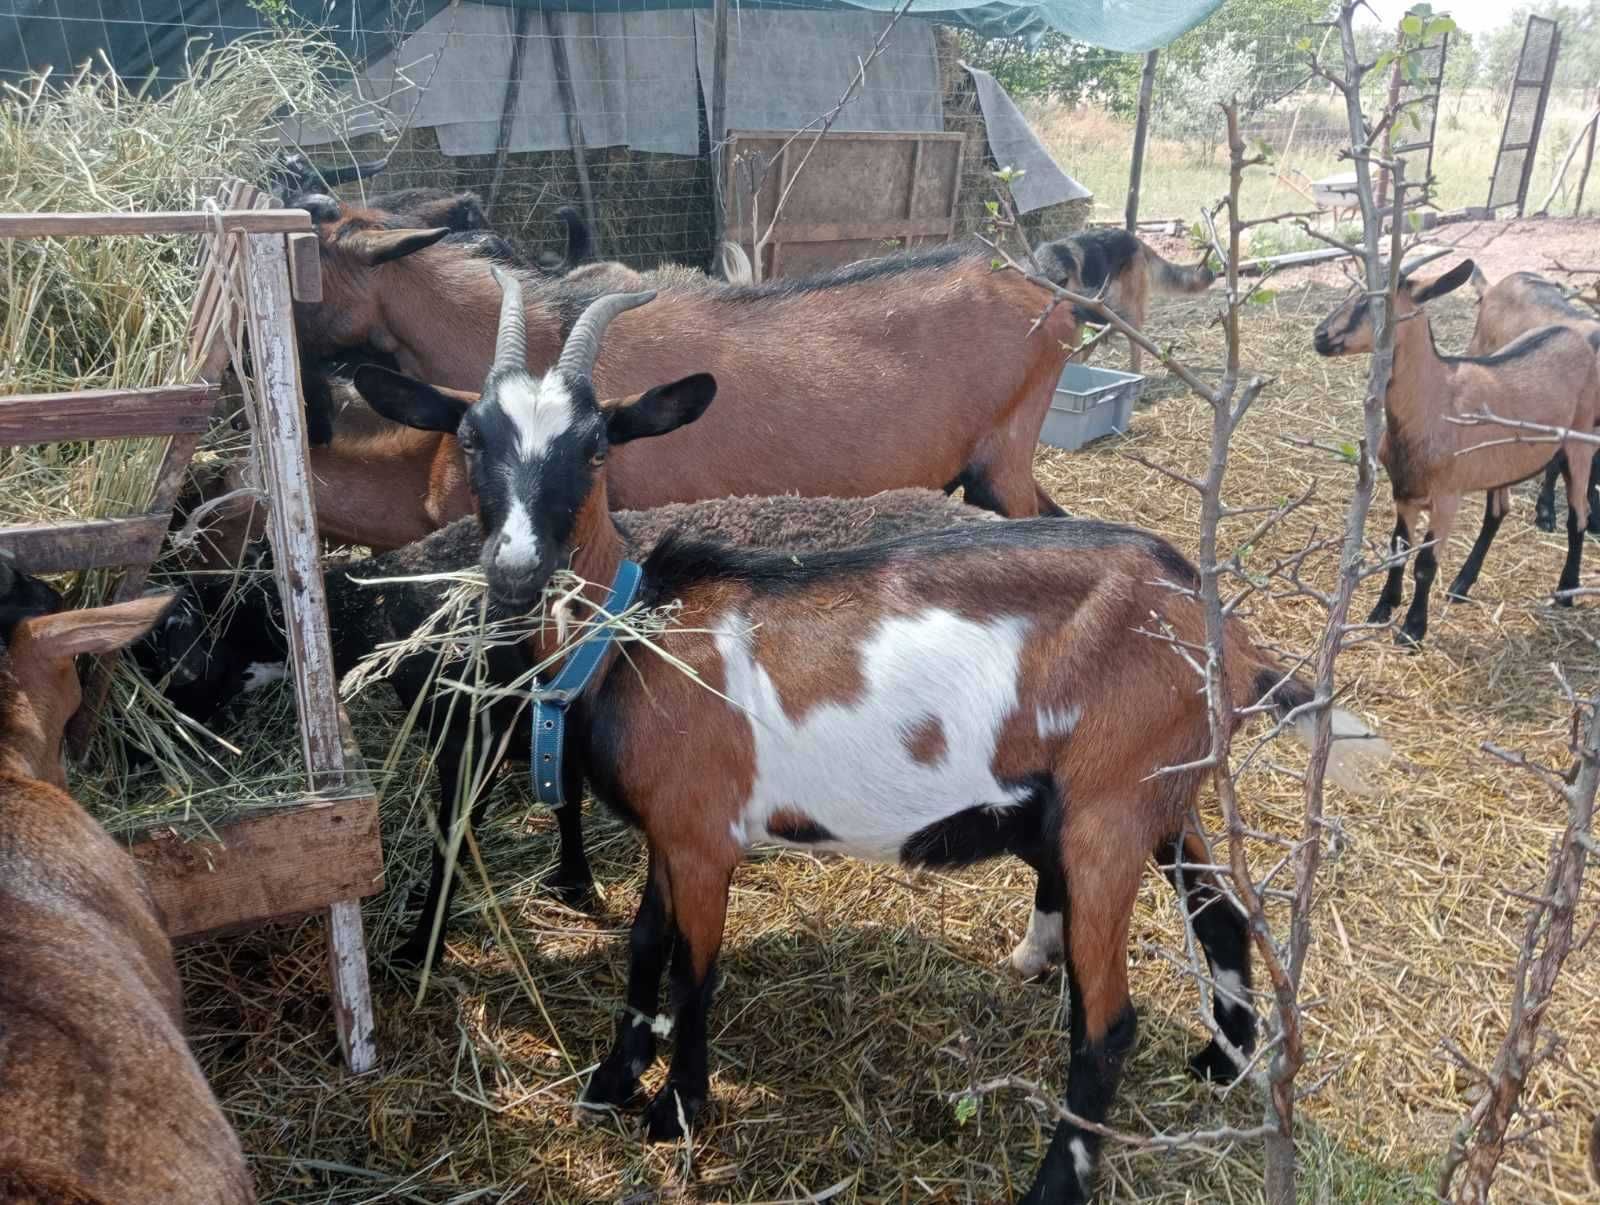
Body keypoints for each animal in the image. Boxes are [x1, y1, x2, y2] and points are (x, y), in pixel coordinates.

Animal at [419, 272, 1395, 1203]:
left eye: (594, 447)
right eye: (472, 439)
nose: (516, 570)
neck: (635, 631)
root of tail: (1221, 628)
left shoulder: (703, 836)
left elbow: (694, 972)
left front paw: (676, 1110)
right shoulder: (673, 828)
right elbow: (645, 946)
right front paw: (611, 1080)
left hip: (1108, 814)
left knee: (1109, 1021)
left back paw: (1056, 1182)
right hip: (1166, 790)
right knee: (1220, 914)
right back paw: (1222, 1063)